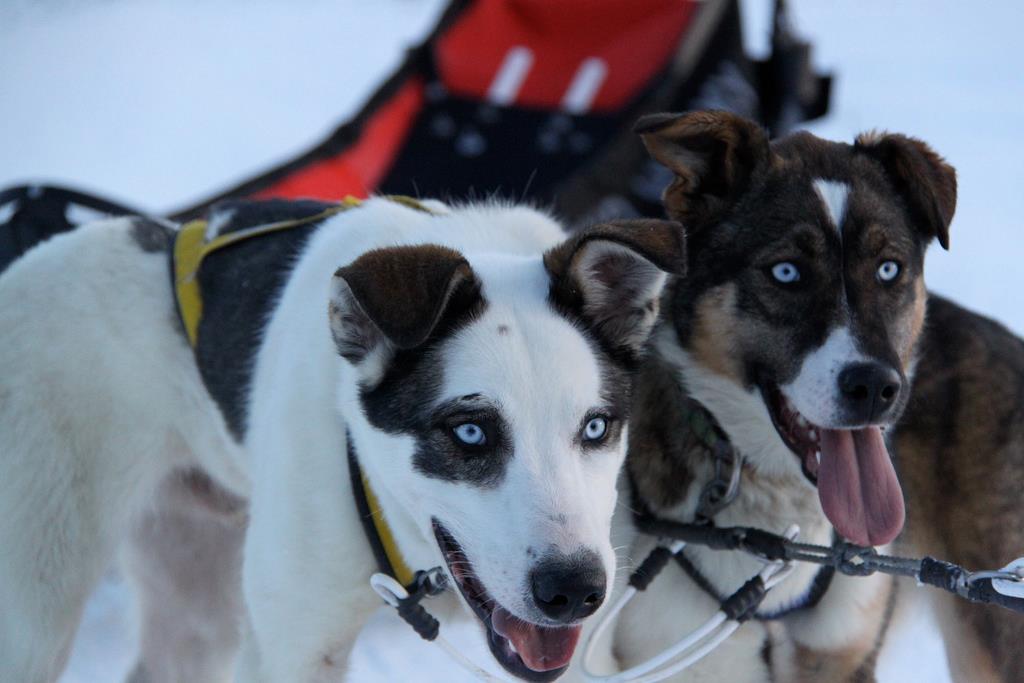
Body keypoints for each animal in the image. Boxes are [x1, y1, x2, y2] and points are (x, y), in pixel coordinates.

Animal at [2, 197, 688, 683]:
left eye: (595, 426)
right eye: (469, 431)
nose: (574, 590)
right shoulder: (294, 652)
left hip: (194, 599)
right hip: (37, 613)